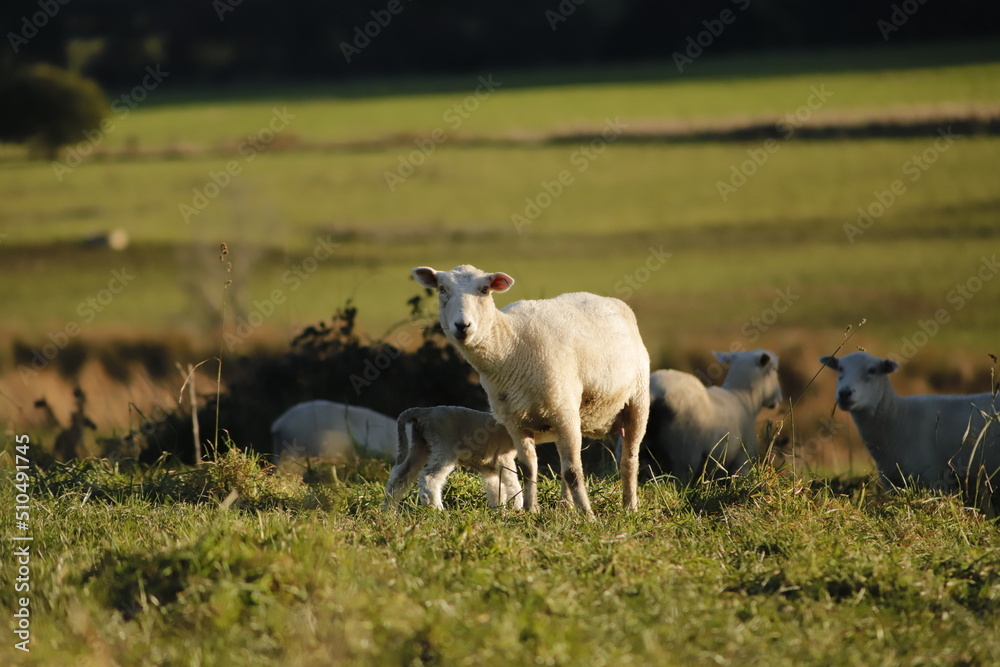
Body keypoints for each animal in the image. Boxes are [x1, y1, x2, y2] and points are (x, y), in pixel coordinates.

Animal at [383, 406, 522, 511]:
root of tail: (424, 411)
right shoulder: (503, 458)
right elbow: (512, 481)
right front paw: (517, 506)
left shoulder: (490, 469)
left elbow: (496, 489)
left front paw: (499, 512)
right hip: (444, 448)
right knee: (430, 476)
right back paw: (436, 509)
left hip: (420, 446)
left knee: (400, 477)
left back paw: (389, 510)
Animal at [412, 264, 650, 517]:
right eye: (442, 289)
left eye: (485, 289)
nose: (462, 326)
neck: (510, 346)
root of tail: (610, 301)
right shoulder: (515, 421)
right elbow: (528, 468)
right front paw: (530, 509)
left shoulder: (565, 413)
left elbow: (574, 472)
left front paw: (588, 515)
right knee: (565, 462)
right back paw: (565, 505)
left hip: (637, 400)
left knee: (629, 458)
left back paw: (630, 506)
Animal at [643, 350, 782, 483]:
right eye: (774, 369)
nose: (779, 399)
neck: (743, 399)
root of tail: (657, 392)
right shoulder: (742, 457)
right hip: (684, 451)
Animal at [819, 352, 1000, 493]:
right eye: (840, 369)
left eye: (872, 370)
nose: (844, 393)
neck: (898, 417)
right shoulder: (893, 481)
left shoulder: (930, 477)